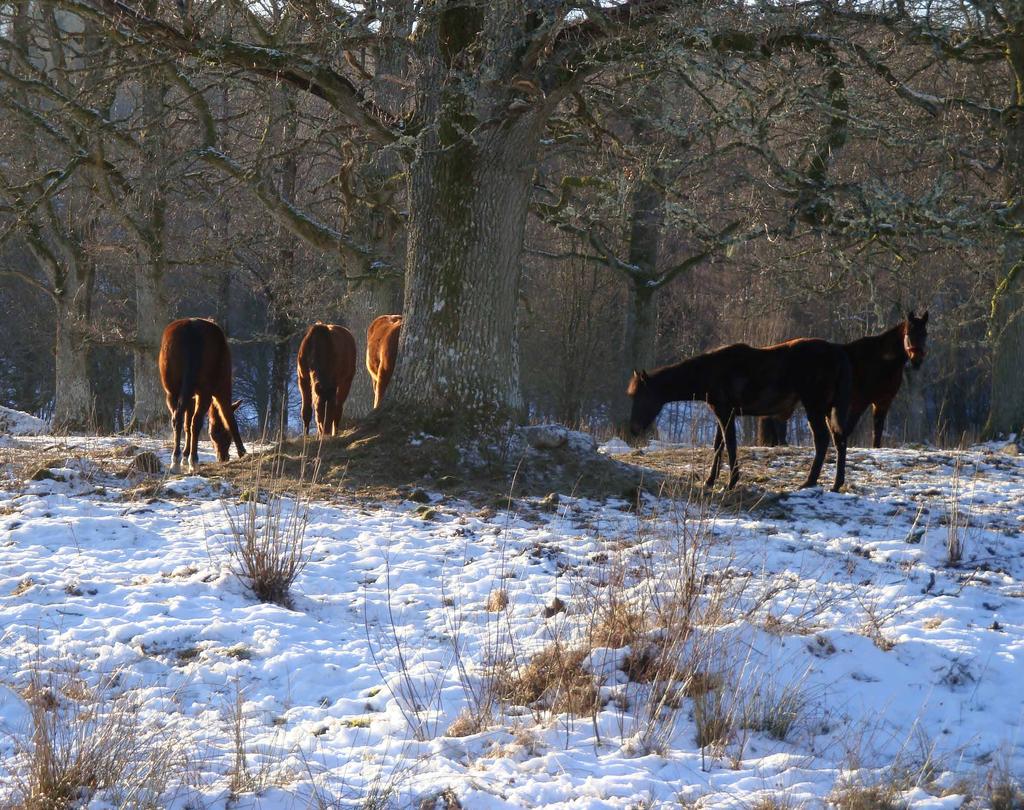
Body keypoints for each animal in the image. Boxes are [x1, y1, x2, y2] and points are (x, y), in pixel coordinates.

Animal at [159, 313, 247, 471]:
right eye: (220, 433)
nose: (223, 457)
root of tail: (191, 330)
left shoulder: (191, 397)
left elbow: (186, 425)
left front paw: (184, 456)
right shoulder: (221, 391)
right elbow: (229, 419)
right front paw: (242, 452)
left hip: (172, 393)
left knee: (177, 419)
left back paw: (175, 461)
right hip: (205, 393)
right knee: (196, 423)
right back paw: (194, 461)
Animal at [753, 311, 929, 450]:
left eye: (925, 334)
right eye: (909, 333)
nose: (917, 361)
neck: (880, 360)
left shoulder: (882, 402)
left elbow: (877, 430)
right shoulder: (861, 401)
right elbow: (849, 428)